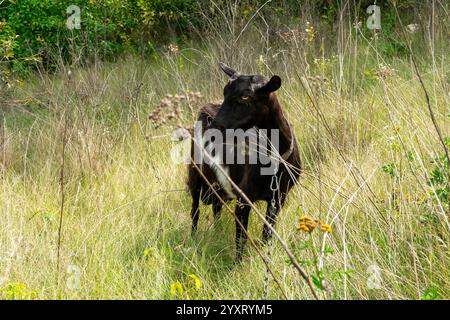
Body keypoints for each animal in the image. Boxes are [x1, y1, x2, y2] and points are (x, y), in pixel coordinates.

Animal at [188, 62, 300, 260]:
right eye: (225, 92)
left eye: (246, 96)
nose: (214, 127)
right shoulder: (243, 199)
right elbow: (241, 239)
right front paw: (237, 264)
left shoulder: (278, 198)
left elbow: (267, 234)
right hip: (195, 174)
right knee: (195, 210)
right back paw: (193, 239)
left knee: (216, 207)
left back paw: (217, 231)